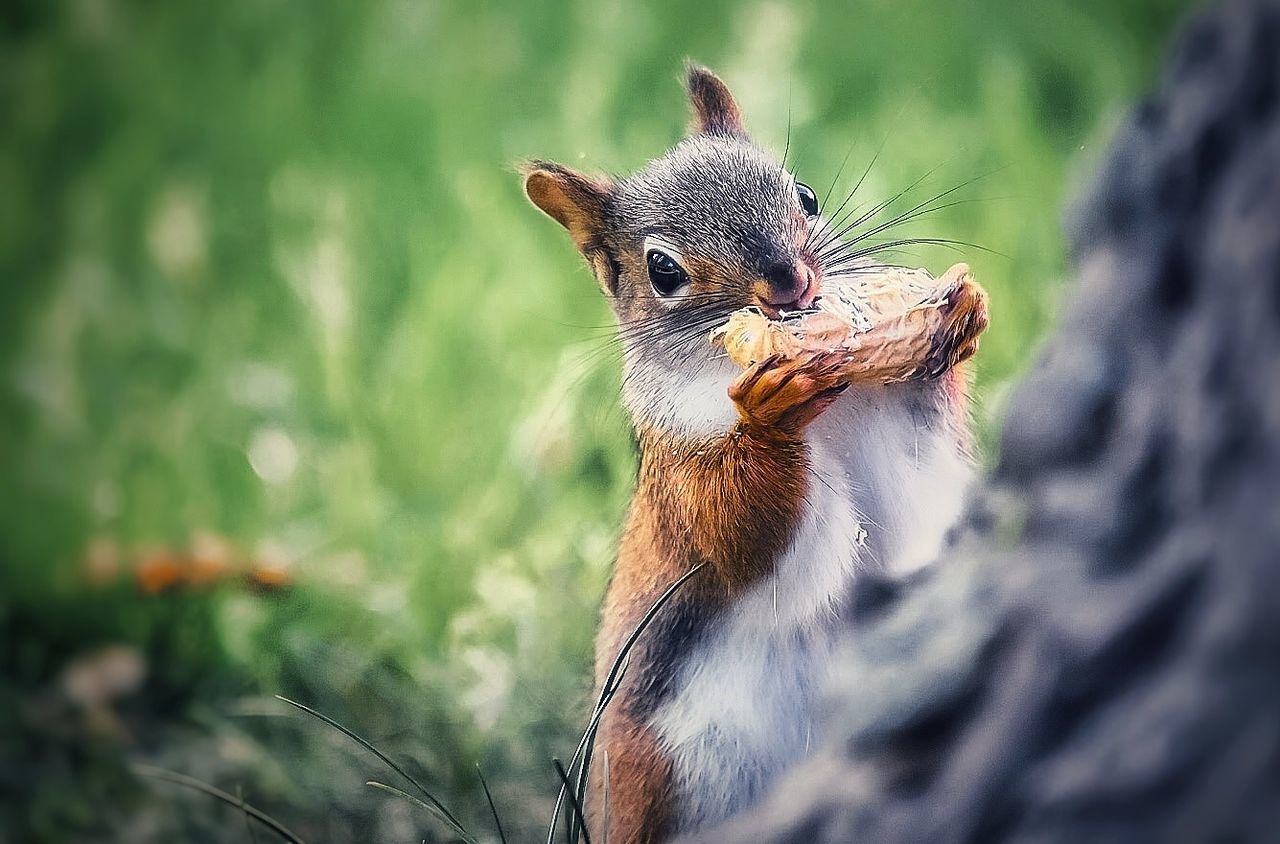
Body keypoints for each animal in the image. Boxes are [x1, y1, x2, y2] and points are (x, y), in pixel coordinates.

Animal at [524, 62, 983, 840]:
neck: (836, 404)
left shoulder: (897, 439)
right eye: (663, 271)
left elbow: (920, 490)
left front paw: (957, 317)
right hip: (662, 778)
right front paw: (770, 417)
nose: (791, 280)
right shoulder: (682, 476)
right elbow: (758, 542)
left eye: (806, 195)